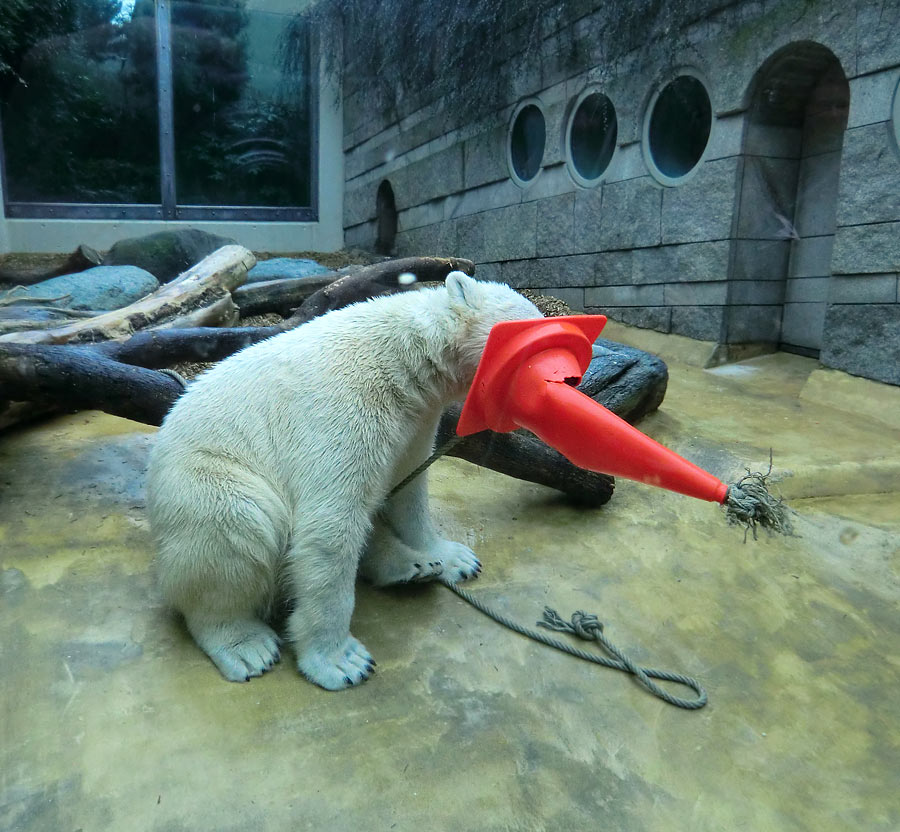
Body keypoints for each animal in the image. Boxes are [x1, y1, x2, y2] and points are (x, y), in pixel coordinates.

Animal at [149, 272, 540, 688]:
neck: (404, 361)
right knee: (235, 524)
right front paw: (340, 661)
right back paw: (245, 644)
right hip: (205, 476)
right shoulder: (343, 410)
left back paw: (413, 567)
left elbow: (409, 490)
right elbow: (330, 525)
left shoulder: (417, 419)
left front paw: (453, 556)